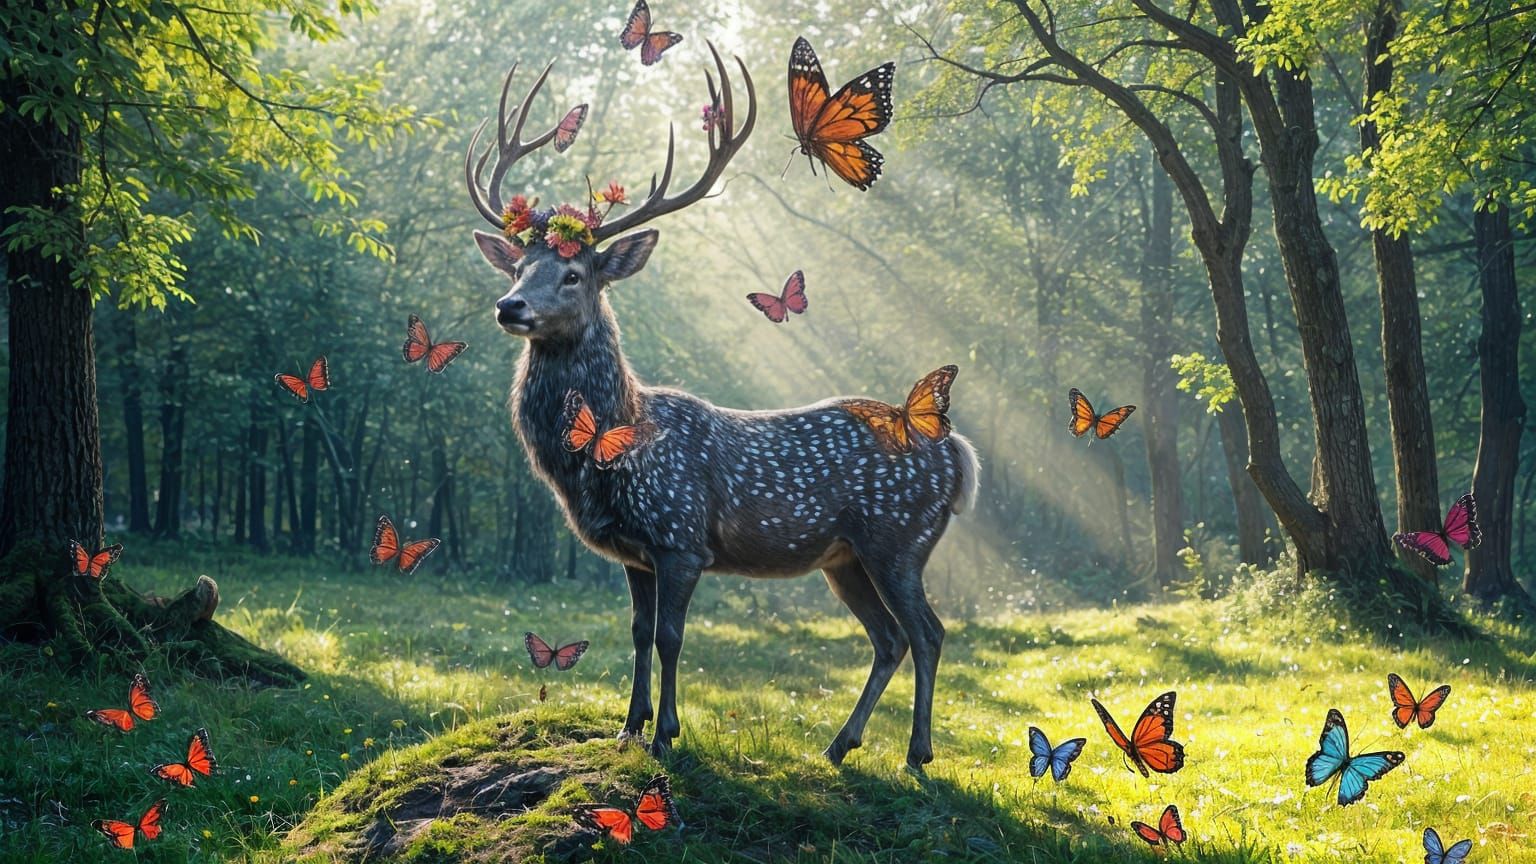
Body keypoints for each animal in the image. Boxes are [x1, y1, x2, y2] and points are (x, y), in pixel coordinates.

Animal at [464, 46, 979, 770]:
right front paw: (627, 728)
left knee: (929, 631)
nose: (510, 307)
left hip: (900, 536)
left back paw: (916, 755)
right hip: (846, 558)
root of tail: (956, 454)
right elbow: (637, 632)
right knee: (889, 638)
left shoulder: (680, 537)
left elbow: (672, 637)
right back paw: (838, 745)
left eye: (573, 274)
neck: (609, 453)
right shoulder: (635, 554)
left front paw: (665, 734)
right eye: (517, 269)